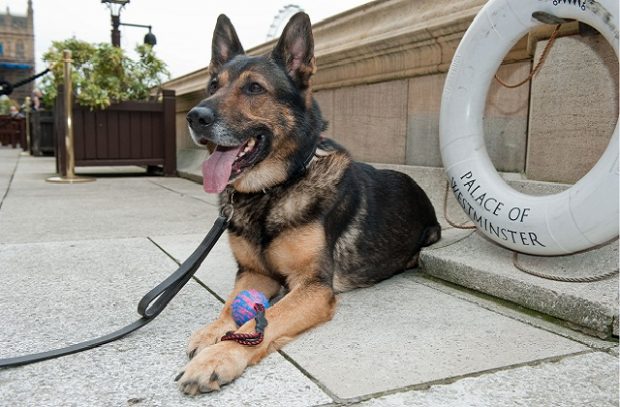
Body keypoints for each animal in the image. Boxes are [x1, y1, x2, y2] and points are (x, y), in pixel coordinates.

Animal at [179, 11, 440, 396]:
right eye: (213, 85)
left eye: (254, 88)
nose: (195, 117)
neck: (274, 189)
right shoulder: (254, 272)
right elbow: (230, 306)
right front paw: (211, 332)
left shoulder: (314, 286)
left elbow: (262, 322)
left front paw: (218, 358)